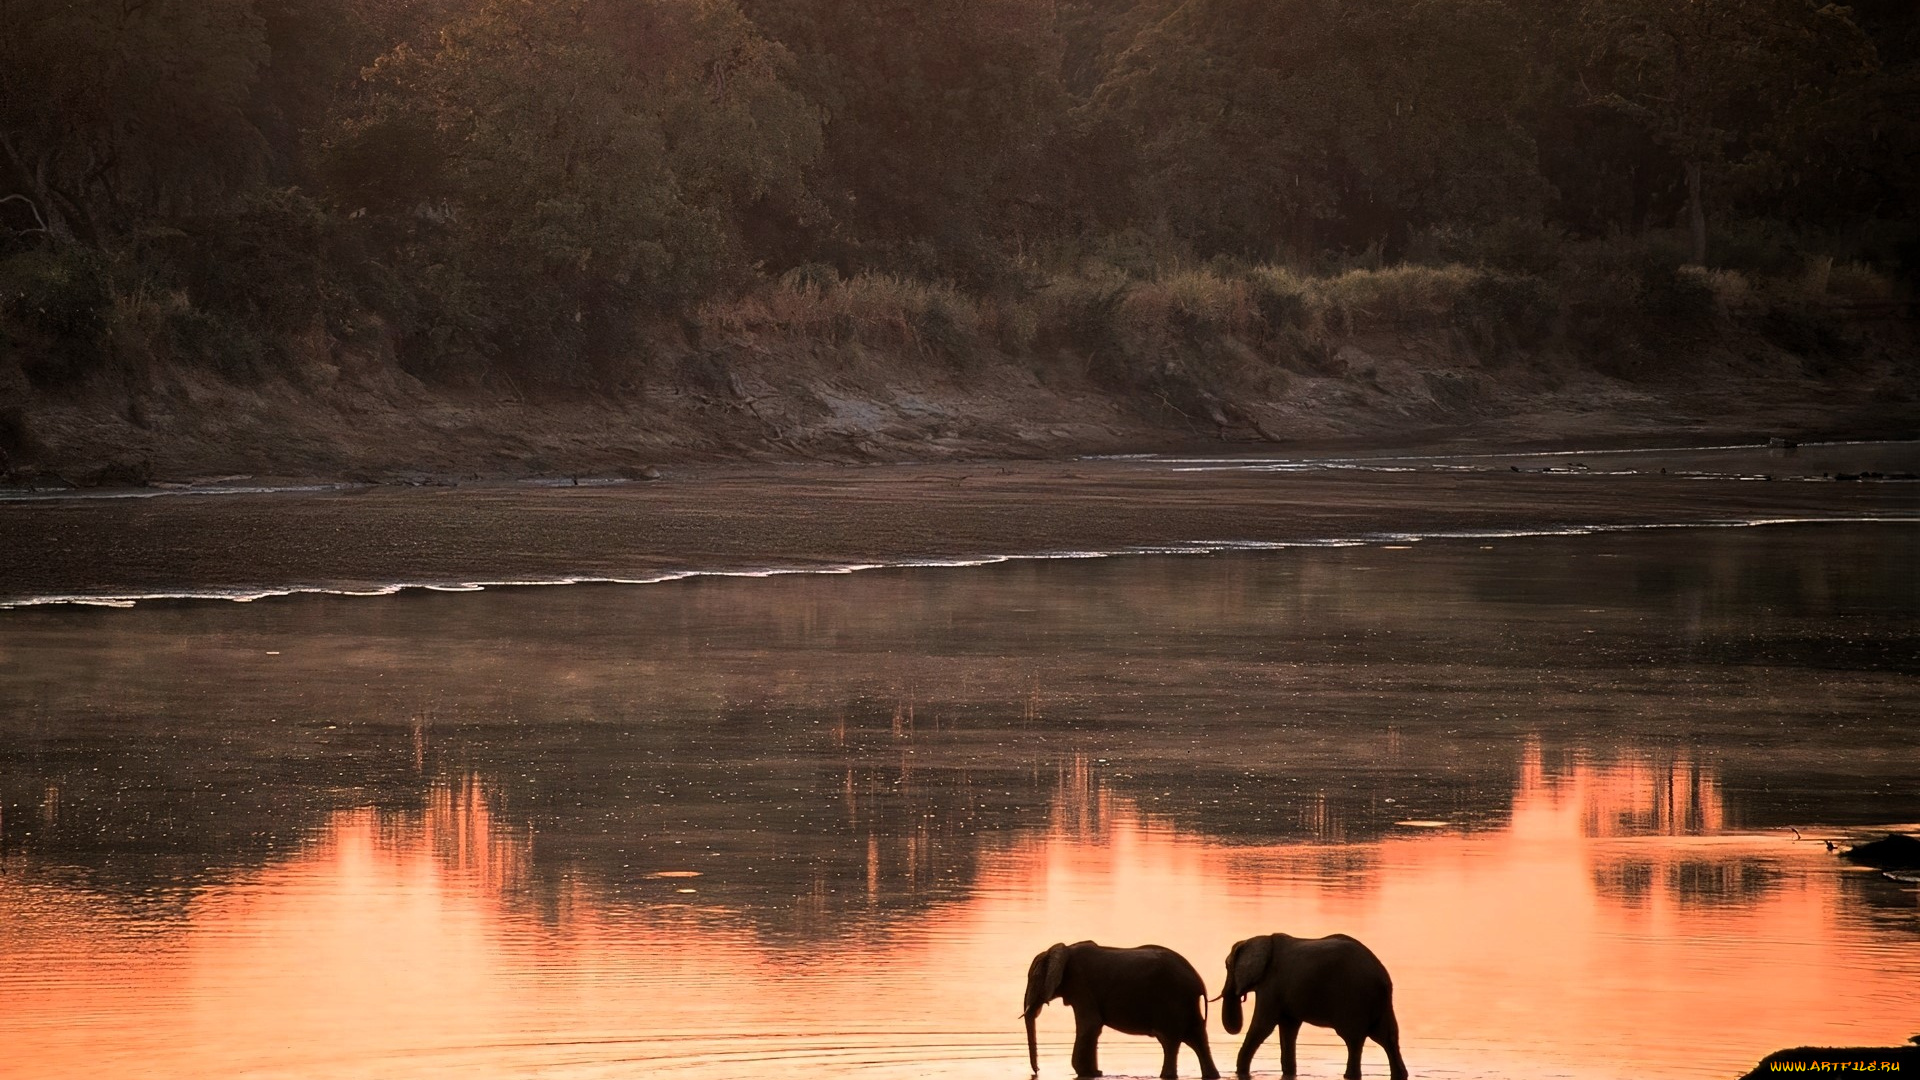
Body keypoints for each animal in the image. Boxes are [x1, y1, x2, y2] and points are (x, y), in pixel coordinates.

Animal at [1029, 933, 1221, 1076]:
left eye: (1033, 978)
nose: (1037, 1070)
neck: (1065, 949)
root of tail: (1198, 982)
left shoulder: (1081, 985)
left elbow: (1090, 1024)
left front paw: (1088, 1072)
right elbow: (1093, 1027)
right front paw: (1095, 1073)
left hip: (1172, 1001)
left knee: (1170, 1041)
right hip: (1186, 1003)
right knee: (1197, 1038)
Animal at [1221, 930, 1405, 1068]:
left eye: (1227, 966)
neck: (1262, 939)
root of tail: (1381, 976)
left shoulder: (1271, 985)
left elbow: (1262, 1026)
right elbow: (1288, 1028)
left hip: (1354, 999)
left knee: (1354, 1041)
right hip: (1381, 1003)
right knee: (1388, 1039)